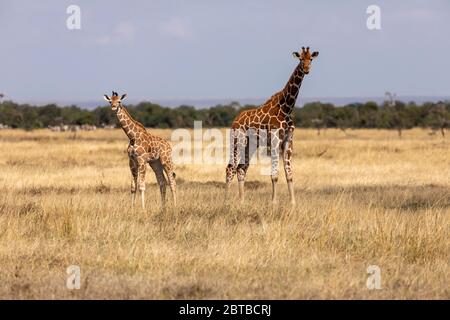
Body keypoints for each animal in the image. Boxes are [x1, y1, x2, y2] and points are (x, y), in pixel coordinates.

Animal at [225, 46, 320, 204]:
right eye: (300, 59)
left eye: (311, 59)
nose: (306, 69)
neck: (286, 108)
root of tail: (235, 121)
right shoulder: (275, 140)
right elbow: (274, 175)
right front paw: (274, 202)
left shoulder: (288, 141)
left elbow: (289, 174)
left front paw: (293, 203)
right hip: (237, 141)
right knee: (230, 167)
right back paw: (225, 200)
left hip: (251, 144)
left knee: (241, 168)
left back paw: (242, 201)